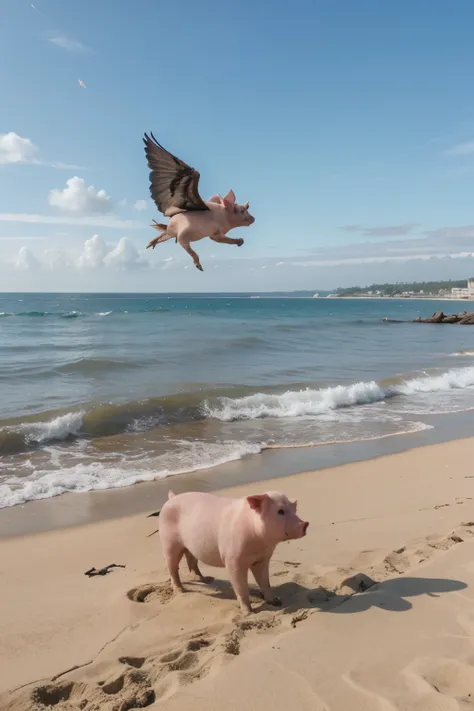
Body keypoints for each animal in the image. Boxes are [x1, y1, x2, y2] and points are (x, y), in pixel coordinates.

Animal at [157, 492, 310, 616]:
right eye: (280, 511)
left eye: (294, 509)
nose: (305, 524)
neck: (258, 541)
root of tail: (172, 497)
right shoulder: (232, 560)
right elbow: (241, 587)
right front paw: (248, 613)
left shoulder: (262, 559)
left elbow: (265, 582)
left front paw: (276, 602)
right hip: (168, 543)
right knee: (172, 567)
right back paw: (181, 591)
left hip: (190, 547)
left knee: (191, 560)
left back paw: (206, 579)